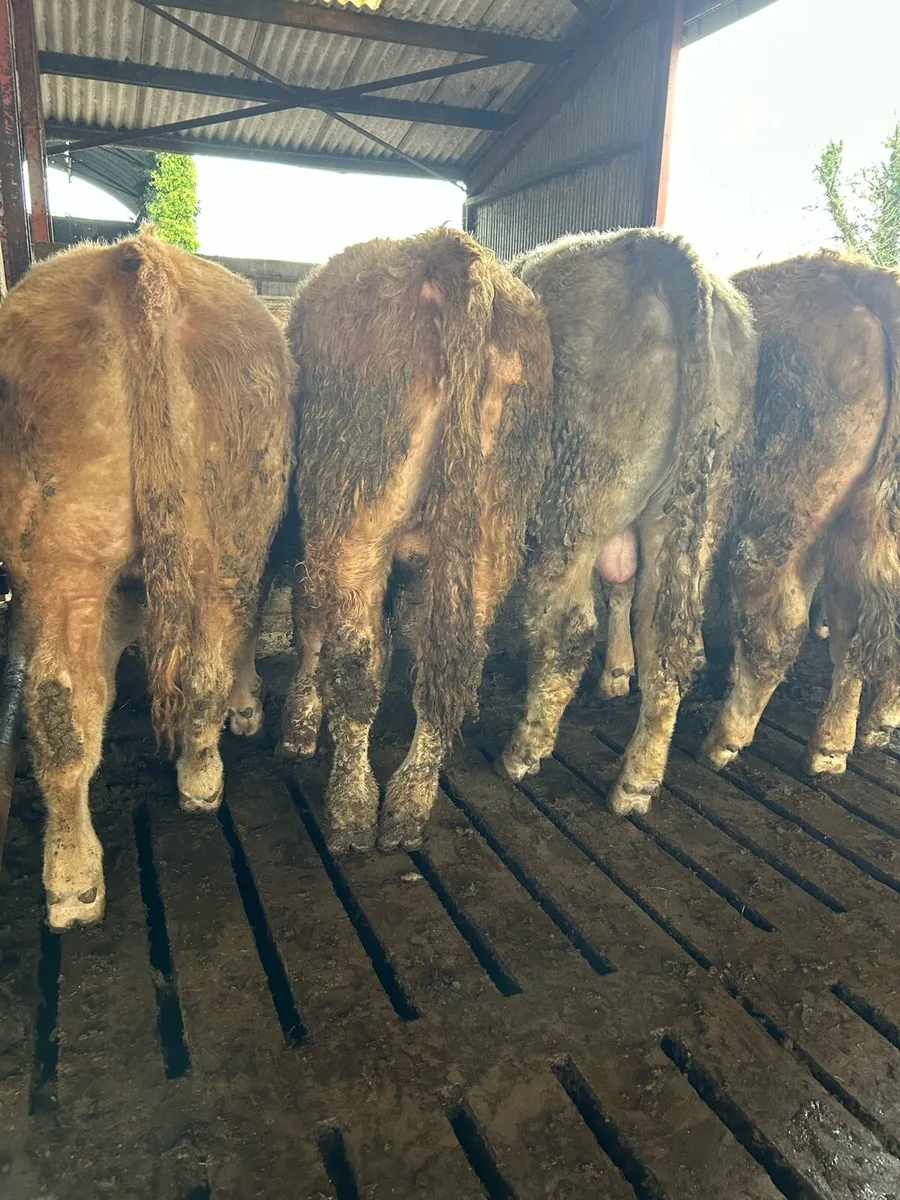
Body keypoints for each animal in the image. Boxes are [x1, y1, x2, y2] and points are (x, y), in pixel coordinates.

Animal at [0, 229, 295, 929]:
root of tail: (137, 262)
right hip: (224, 535)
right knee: (192, 673)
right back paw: (195, 782)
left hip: (67, 560)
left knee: (59, 701)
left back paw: (76, 874)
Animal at [279, 227, 552, 853]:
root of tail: (448, 250)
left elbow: (314, 627)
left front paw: (300, 727)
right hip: (491, 530)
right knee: (447, 670)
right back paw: (408, 804)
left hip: (353, 511)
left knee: (354, 665)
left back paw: (353, 812)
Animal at [497, 229, 757, 815]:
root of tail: (658, 250)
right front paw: (617, 673)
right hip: (692, 509)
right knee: (666, 638)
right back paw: (637, 781)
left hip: (575, 498)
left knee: (569, 628)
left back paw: (523, 750)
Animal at [702, 252, 900, 774]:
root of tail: (856, 277)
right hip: (856, 529)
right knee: (856, 630)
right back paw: (840, 742)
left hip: (777, 517)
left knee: (779, 623)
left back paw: (725, 738)